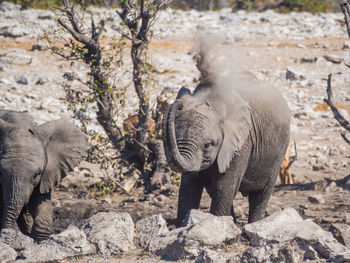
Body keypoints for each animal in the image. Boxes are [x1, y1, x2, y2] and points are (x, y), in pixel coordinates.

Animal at [163, 71, 292, 227]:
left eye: (207, 145)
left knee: (260, 194)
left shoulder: (242, 142)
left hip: (280, 149)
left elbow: (225, 186)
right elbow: (189, 187)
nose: (180, 104)